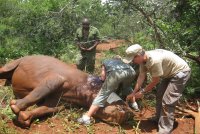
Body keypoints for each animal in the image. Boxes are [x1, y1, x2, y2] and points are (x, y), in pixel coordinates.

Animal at [0, 55, 134, 127]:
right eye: (122, 104)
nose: (129, 113)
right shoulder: (56, 78)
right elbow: (41, 91)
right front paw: (15, 106)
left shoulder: (62, 101)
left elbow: (49, 108)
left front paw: (24, 118)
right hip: (15, 62)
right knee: (5, 69)